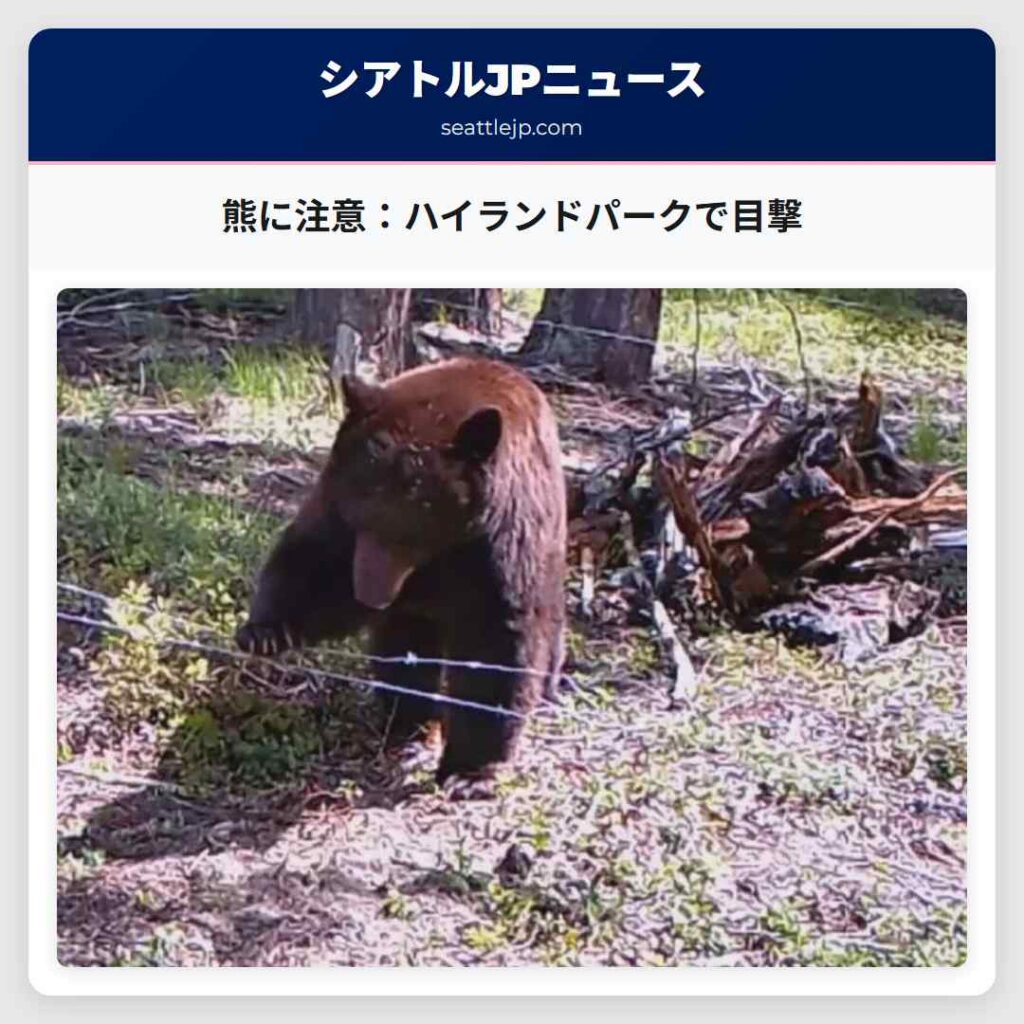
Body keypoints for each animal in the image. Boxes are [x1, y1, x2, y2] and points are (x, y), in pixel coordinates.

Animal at [236, 356, 567, 786]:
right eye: (358, 521)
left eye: (409, 536)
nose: (370, 595)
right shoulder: (335, 509)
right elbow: (314, 561)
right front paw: (264, 632)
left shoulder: (500, 542)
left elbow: (497, 640)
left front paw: (469, 771)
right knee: (405, 646)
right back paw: (408, 720)